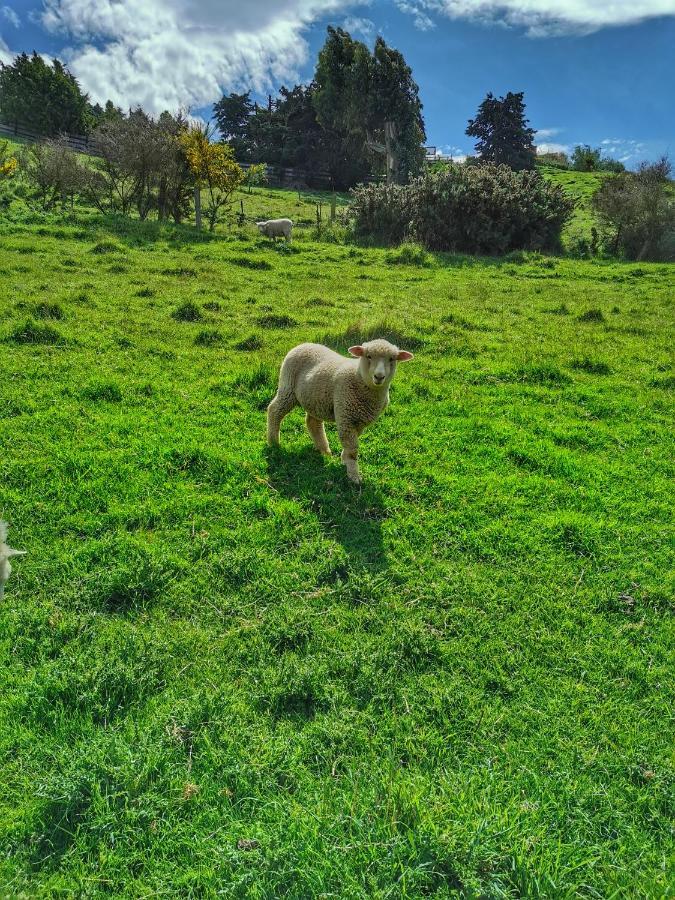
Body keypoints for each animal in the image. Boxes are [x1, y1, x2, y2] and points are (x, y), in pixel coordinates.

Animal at [266, 338, 414, 482]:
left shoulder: (359, 420)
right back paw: (274, 443)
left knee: (312, 422)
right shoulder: (345, 415)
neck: (359, 378)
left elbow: (351, 445)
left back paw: (324, 450)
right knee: (274, 410)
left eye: (392, 359)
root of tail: (303, 344)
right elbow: (352, 449)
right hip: (288, 387)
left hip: (315, 399)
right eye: (368, 356)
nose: (379, 376)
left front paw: (344, 460)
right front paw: (354, 476)